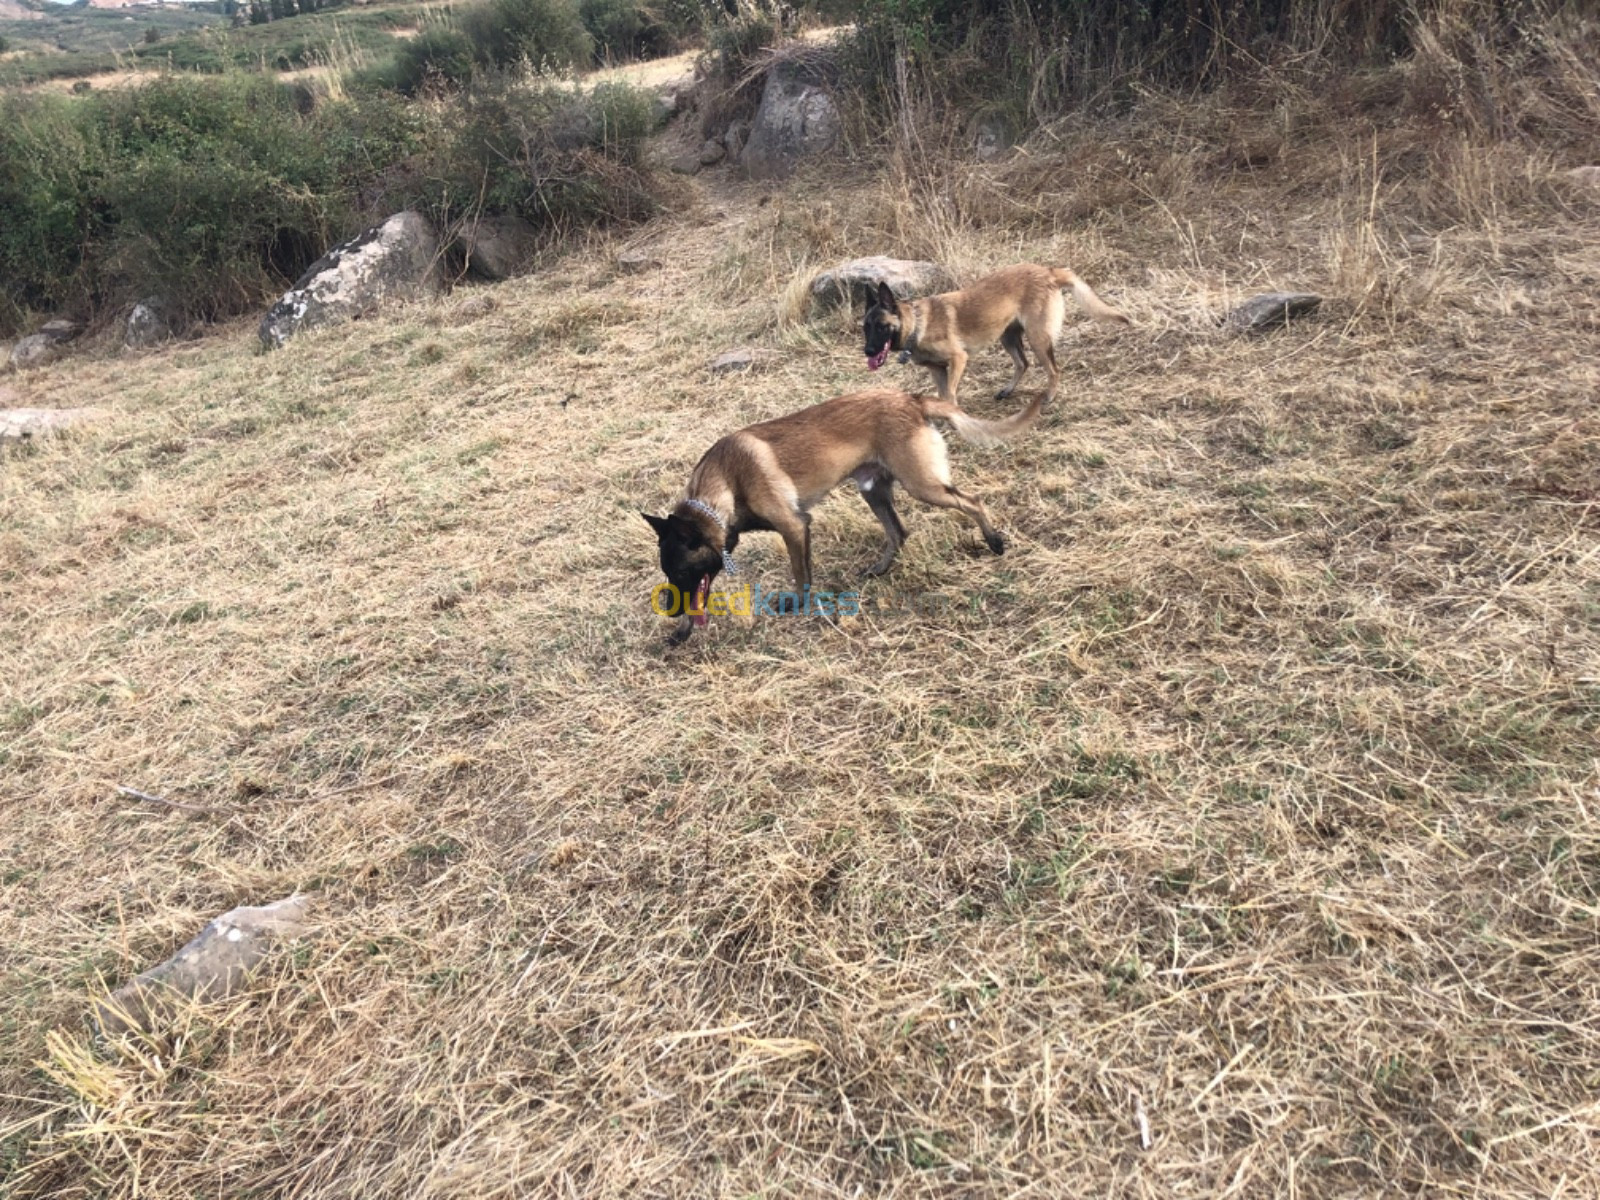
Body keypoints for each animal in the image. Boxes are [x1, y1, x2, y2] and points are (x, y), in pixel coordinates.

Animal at [643, 387, 1043, 649]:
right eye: (669, 574)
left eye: (681, 572)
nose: (668, 613)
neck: (725, 481)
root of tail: (911, 399)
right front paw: (682, 632)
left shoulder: (794, 526)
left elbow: (801, 574)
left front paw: (799, 605)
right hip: (873, 490)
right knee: (899, 532)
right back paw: (880, 569)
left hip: (922, 485)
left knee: (971, 501)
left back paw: (994, 541)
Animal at [857, 262, 1132, 409]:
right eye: (865, 327)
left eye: (881, 326)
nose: (868, 352)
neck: (917, 324)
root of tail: (1048, 271)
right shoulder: (937, 370)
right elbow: (943, 395)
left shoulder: (958, 359)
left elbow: (950, 394)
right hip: (1008, 337)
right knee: (1023, 363)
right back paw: (1008, 390)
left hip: (1037, 339)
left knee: (1054, 370)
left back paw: (1049, 397)